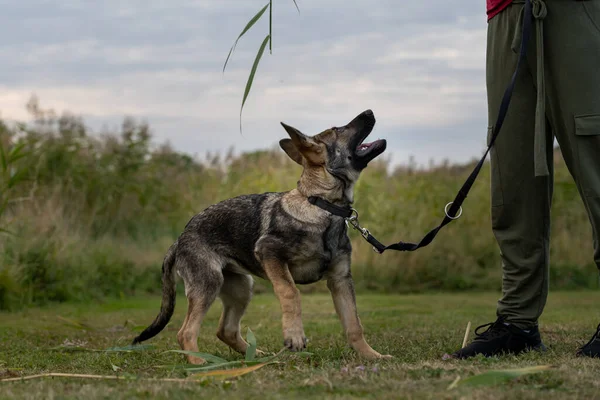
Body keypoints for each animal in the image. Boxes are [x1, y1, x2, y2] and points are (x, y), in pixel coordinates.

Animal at [132, 108, 390, 362]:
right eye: (339, 129)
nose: (370, 111)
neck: (322, 206)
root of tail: (180, 238)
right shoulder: (271, 254)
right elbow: (290, 292)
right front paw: (294, 335)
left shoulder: (340, 280)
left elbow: (354, 325)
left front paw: (371, 355)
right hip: (208, 284)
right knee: (185, 332)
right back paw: (199, 362)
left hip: (241, 288)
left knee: (225, 330)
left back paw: (255, 356)